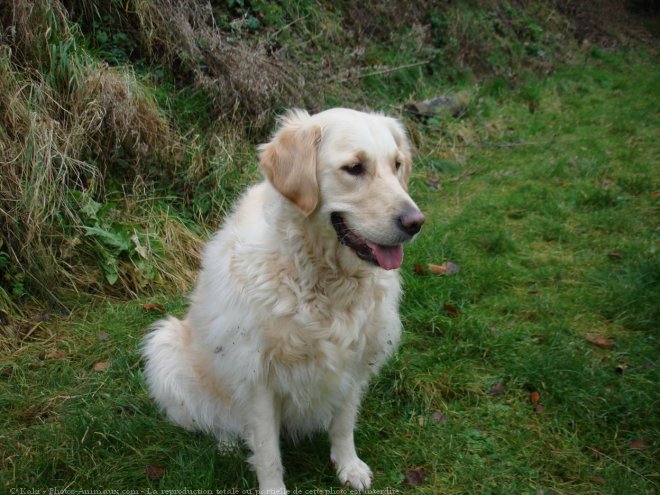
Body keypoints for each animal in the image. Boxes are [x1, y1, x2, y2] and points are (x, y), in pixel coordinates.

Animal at [142, 107, 426, 492]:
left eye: (397, 164)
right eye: (354, 168)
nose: (416, 223)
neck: (322, 278)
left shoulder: (354, 360)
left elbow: (343, 422)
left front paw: (348, 466)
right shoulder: (257, 377)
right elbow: (266, 451)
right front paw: (273, 487)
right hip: (165, 346)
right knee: (216, 419)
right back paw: (227, 442)